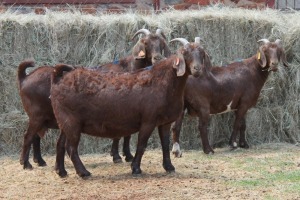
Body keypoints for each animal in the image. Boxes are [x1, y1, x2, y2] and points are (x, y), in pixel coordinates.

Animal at [17, 27, 171, 169]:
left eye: (161, 43)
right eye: (146, 42)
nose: (157, 58)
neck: (129, 68)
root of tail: (25, 78)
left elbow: (127, 133)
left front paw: (125, 155)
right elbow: (121, 134)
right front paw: (119, 156)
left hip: (42, 117)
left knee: (36, 136)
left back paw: (39, 160)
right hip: (37, 115)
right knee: (28, 136)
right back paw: (26, 163)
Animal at [50, 37, 210, 177]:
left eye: (202, 53)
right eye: (185, 53)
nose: (197, 69)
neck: (163, 81)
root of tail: (59, 78)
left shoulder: (164, 122)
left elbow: (165, 144)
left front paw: (169, 167)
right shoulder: (148, 120)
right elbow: (141, 144)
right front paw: (136, 168)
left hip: (65, 122)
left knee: (60, 144)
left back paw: (61, 171)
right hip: (71, 121)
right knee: (71, 148)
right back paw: (83, 172)